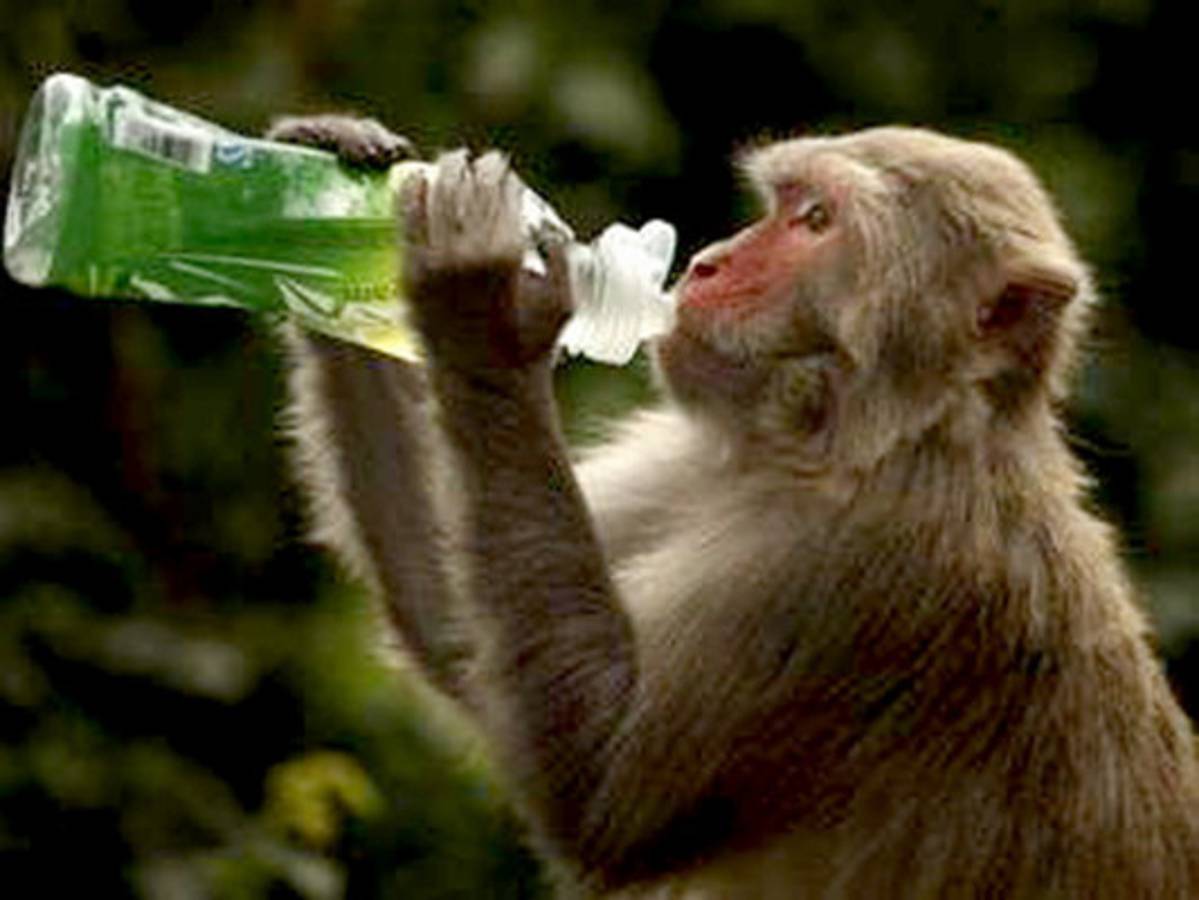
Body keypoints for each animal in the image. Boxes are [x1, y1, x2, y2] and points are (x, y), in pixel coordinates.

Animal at [269, 116, 1199, 898]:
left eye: (817, 220)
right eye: (780, 207)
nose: (707, 263)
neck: (864, 446)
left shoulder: (872, 574)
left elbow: (599, 795)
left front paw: (484, 307)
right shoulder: (693, 457)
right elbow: (457, 631)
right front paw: (326, 179)